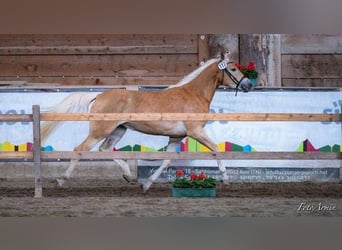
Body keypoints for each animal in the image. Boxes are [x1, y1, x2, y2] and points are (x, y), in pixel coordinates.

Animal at [41, 50, 252, 191]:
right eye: (233, 68)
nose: (248, 85)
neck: (193, 94)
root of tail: (99, 95)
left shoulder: (176, 137)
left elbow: (166, 161)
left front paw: (146, 184)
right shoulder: (196, 132)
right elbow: (216, 150)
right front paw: (225, 178)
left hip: (119, 130)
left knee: (105, 149)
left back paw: (128, 175)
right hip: (100, 131)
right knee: (80, 149)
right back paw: (61, 179)